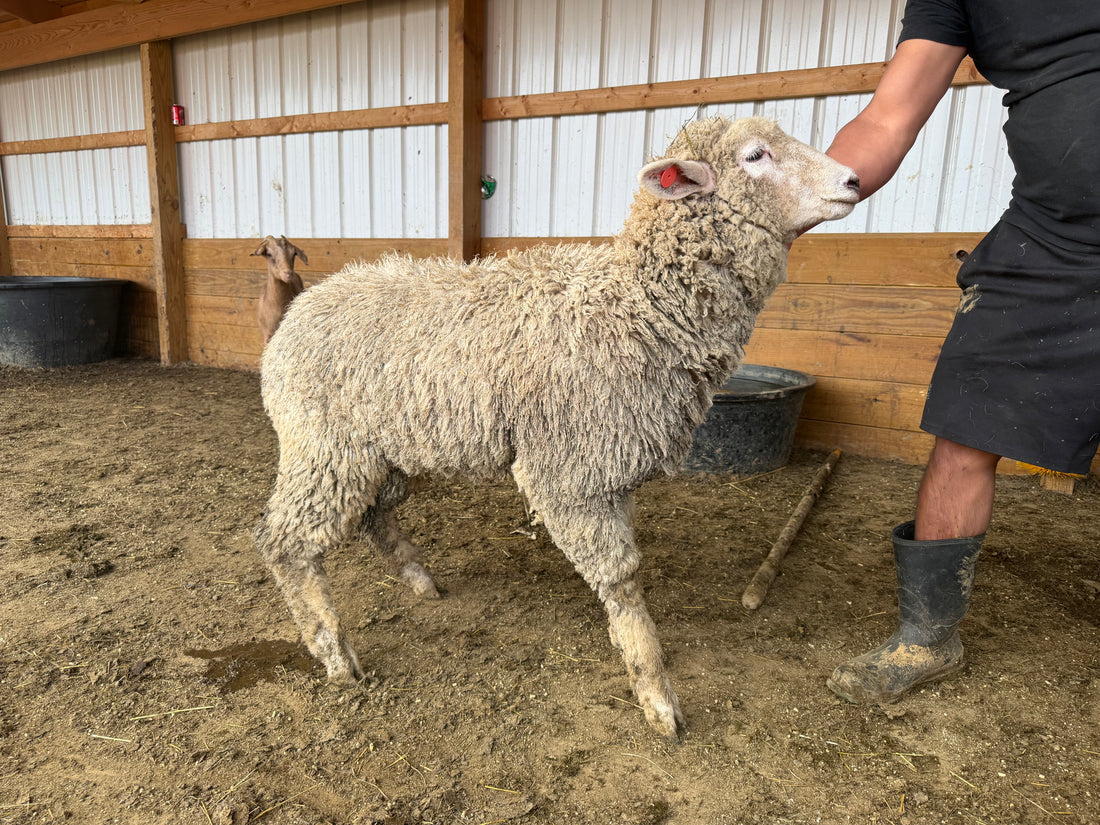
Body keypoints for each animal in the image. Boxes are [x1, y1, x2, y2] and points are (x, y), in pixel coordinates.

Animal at [254, 117, 859, 741]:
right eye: (755, 155)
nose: (854, 181)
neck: (641, 307)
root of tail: (300, 310)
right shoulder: (571, 470)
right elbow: (622, 579)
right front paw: (655, 693)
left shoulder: (612, 466)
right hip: (322, 445)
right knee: (287, 545)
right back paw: (334, 653)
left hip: (382, 448)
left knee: (373, 512)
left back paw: (418, 578)